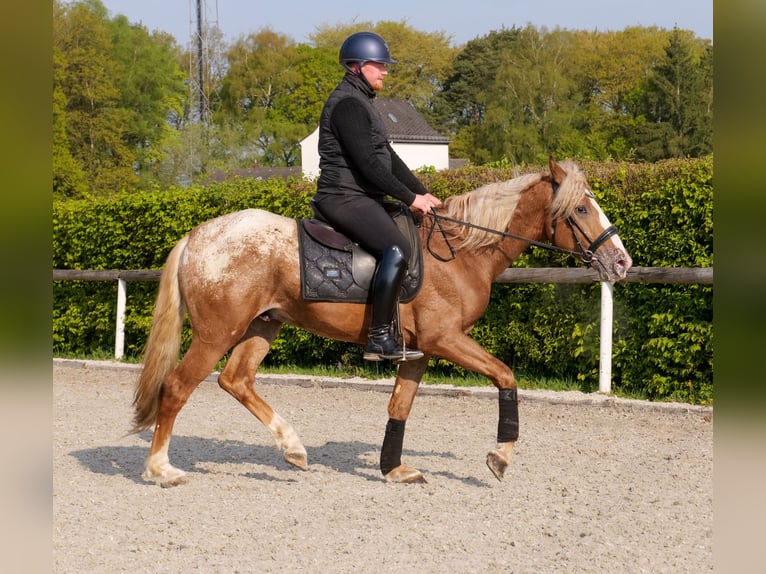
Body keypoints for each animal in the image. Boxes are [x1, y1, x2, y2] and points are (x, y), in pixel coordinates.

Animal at [132, 156, 632, 487]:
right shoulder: (446, 338)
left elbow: (399, 408)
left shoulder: (420, 349)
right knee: (177, 388)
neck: (461, 250)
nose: (621, 261)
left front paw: (394, 469)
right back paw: (161, 470)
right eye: (582, 209)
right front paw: (500, 456)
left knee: (236, 380)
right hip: (217, 333)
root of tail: (198, 236)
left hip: (262, 324)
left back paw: (292, 448)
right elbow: (505, 376)